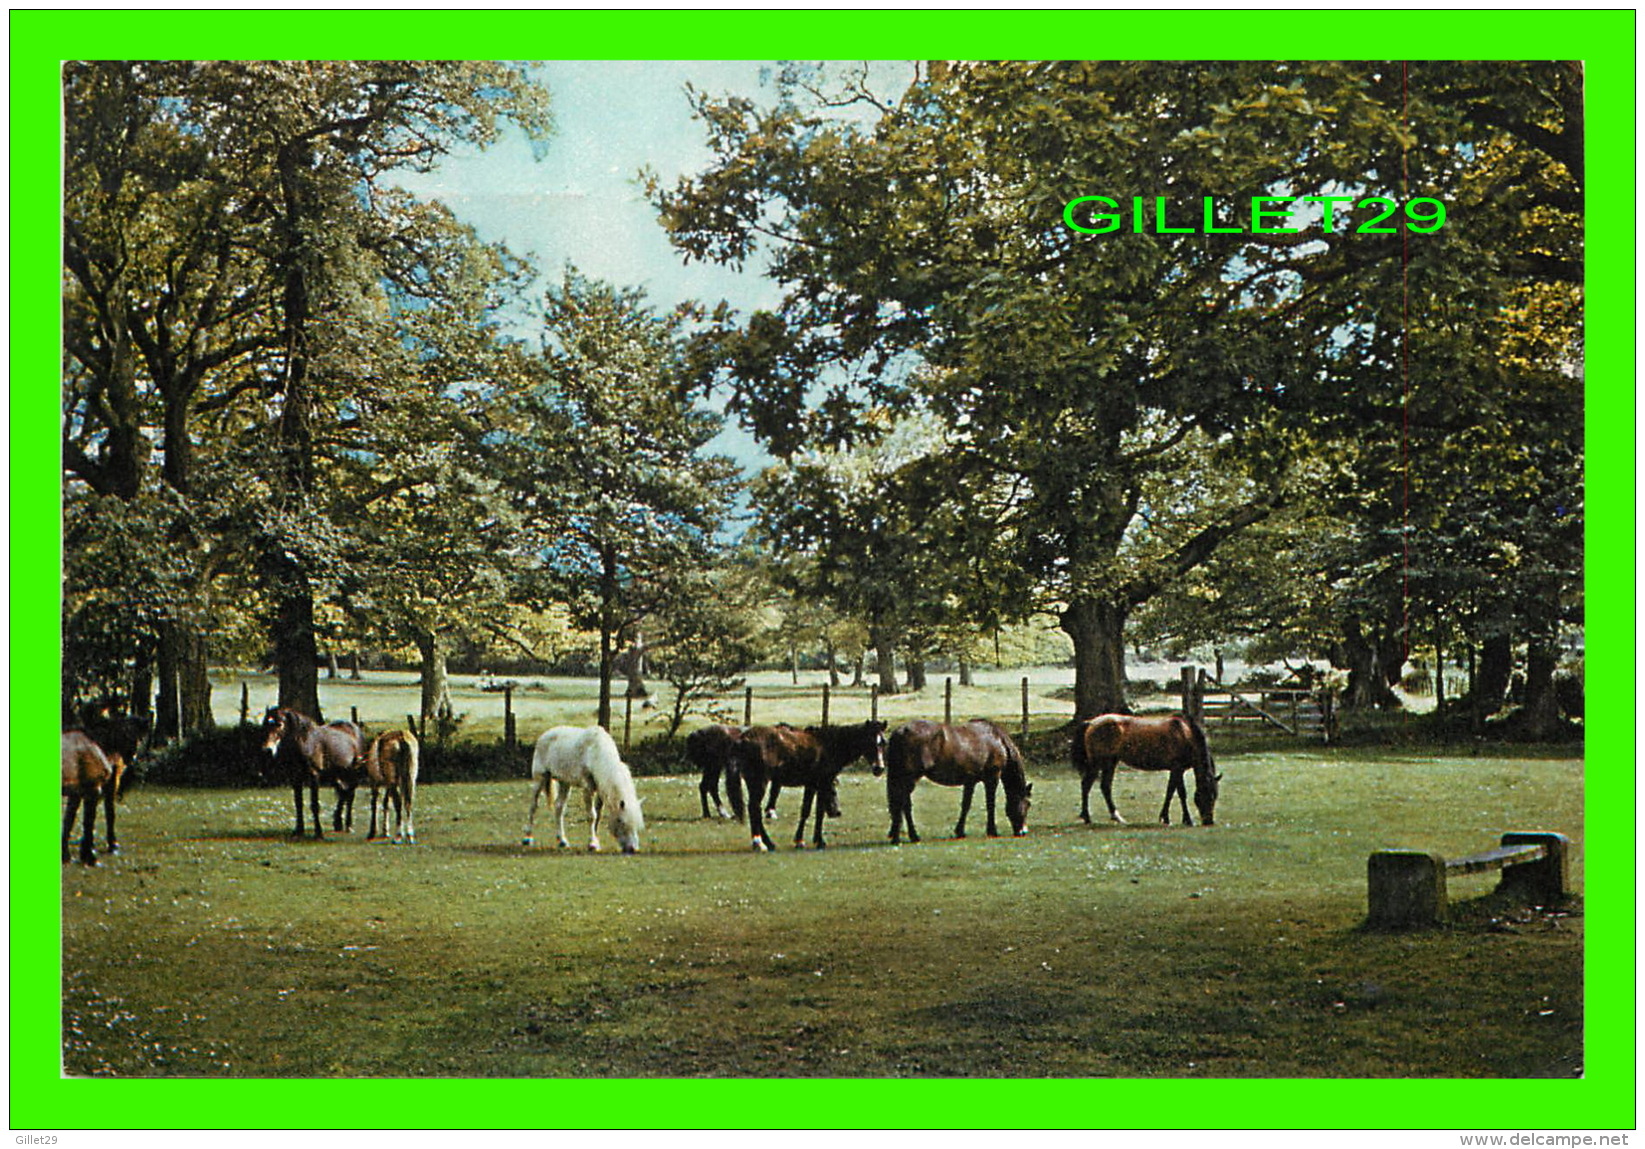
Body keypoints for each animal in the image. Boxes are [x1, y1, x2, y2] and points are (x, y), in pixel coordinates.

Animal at [259, 701, 363, 836]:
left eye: (279, 724)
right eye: (264, 723)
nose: (267, 750)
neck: (307, 743)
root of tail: (354, 728)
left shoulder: (314, 776)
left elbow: (314, 804)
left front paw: (318, 833)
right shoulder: (296, 777)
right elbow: (298, 803)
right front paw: (299, 830)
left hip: (353, 774)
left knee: (350, 795)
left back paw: (348, 825)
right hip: (336, 775)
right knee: (343, 793)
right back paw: (338, 823)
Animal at [733, 717, 888, 849]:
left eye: (883, 742)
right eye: (869, 742)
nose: (879, 768)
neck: (827, 745)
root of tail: (744, 738)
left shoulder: (815, 785)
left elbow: (813, 811)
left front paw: (810, 840)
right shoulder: (820, 783)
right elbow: (812, 811)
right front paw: (809, 841)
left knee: (754, 809)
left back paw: (767, 843)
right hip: (760, 782)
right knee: (754, 808)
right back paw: (760, 843)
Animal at [875, 717, 1026, 842]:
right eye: (1028, 804)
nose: (1023, 832)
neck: (997, 739)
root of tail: (900, 731)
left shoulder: (970, 782)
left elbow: (966, 805)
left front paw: (960, 831)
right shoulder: (992, 778)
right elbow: (990, 805)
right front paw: (992, 831)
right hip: (909, 779)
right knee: (903, 804)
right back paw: (908, 837)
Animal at [1065, 707, 1223, 823]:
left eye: (1215, 795)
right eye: (1208, 795)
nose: (1209, 821)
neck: (1185, 733)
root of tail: (1091, 723)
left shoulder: (1176, 770)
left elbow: (1170, 791)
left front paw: (1165, 817)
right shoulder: (1177, 769)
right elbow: (1181, 793)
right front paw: (1187, 820)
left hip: (1110, 762)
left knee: (1105, 787)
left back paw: (1117, 817)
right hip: (1097, 763)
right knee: (1086, 785)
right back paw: (1087, 817)